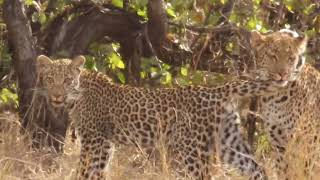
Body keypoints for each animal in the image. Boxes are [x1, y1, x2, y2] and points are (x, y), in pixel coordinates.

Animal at [35, 54, 290, 179]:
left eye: (67, 80)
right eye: (50, 79)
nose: (56, 95)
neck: (78, 93)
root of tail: (217, 90)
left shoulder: (95, 139)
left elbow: (86, 169)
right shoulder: (105, 142)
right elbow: (98, 170)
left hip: (192, 148)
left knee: (205, 175)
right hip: (228, 141)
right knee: (257, 168)